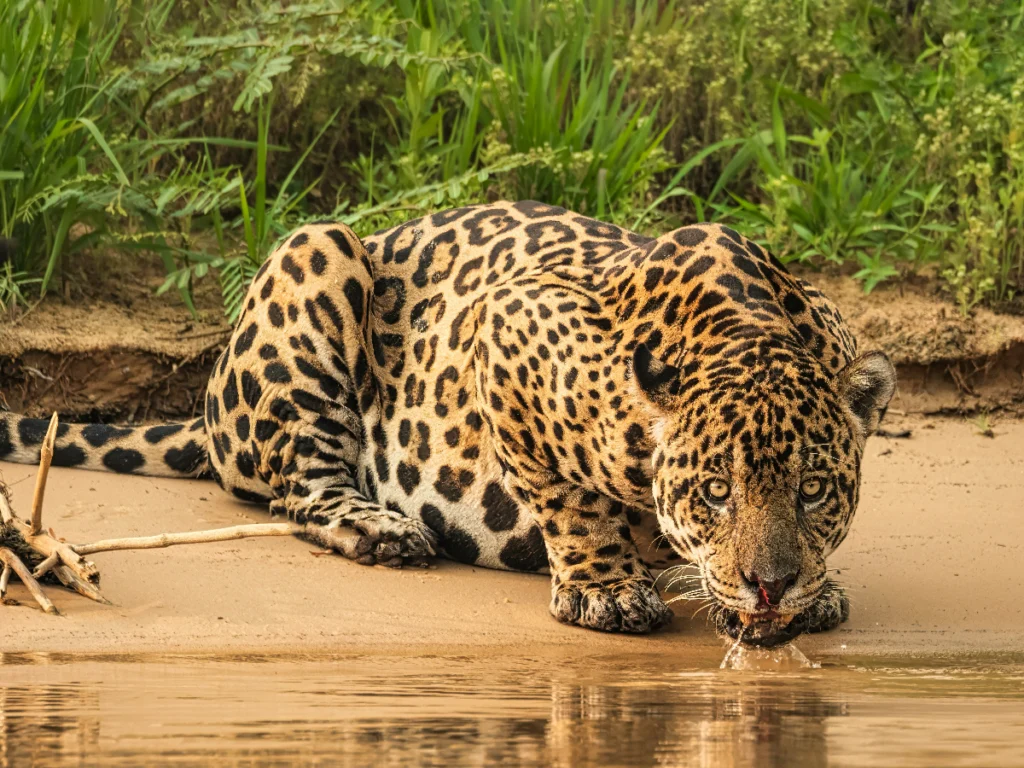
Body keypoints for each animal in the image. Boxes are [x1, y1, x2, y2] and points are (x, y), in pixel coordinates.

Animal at [0, 201, 895, 646]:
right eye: (714, 491)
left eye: (815, 491)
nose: (771, 585)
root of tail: (213, 393)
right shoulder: (508, 324)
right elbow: (568, 496)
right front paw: (605, 589)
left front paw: (813, 590)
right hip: (316, 251)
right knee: (299, 486)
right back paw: (383, 529)